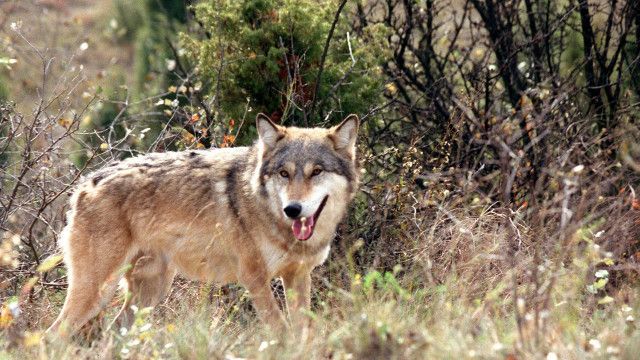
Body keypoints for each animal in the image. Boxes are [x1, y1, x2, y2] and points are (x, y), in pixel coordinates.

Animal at [48, 112, 360, 334]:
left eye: (316, 171)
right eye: (284, 173)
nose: (292, 210)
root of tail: (85, 184)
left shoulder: (298, 275)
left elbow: (303, 330)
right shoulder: (255, 279)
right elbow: (281, 330)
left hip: (151, 291)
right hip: (98, 292)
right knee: (52, 335)